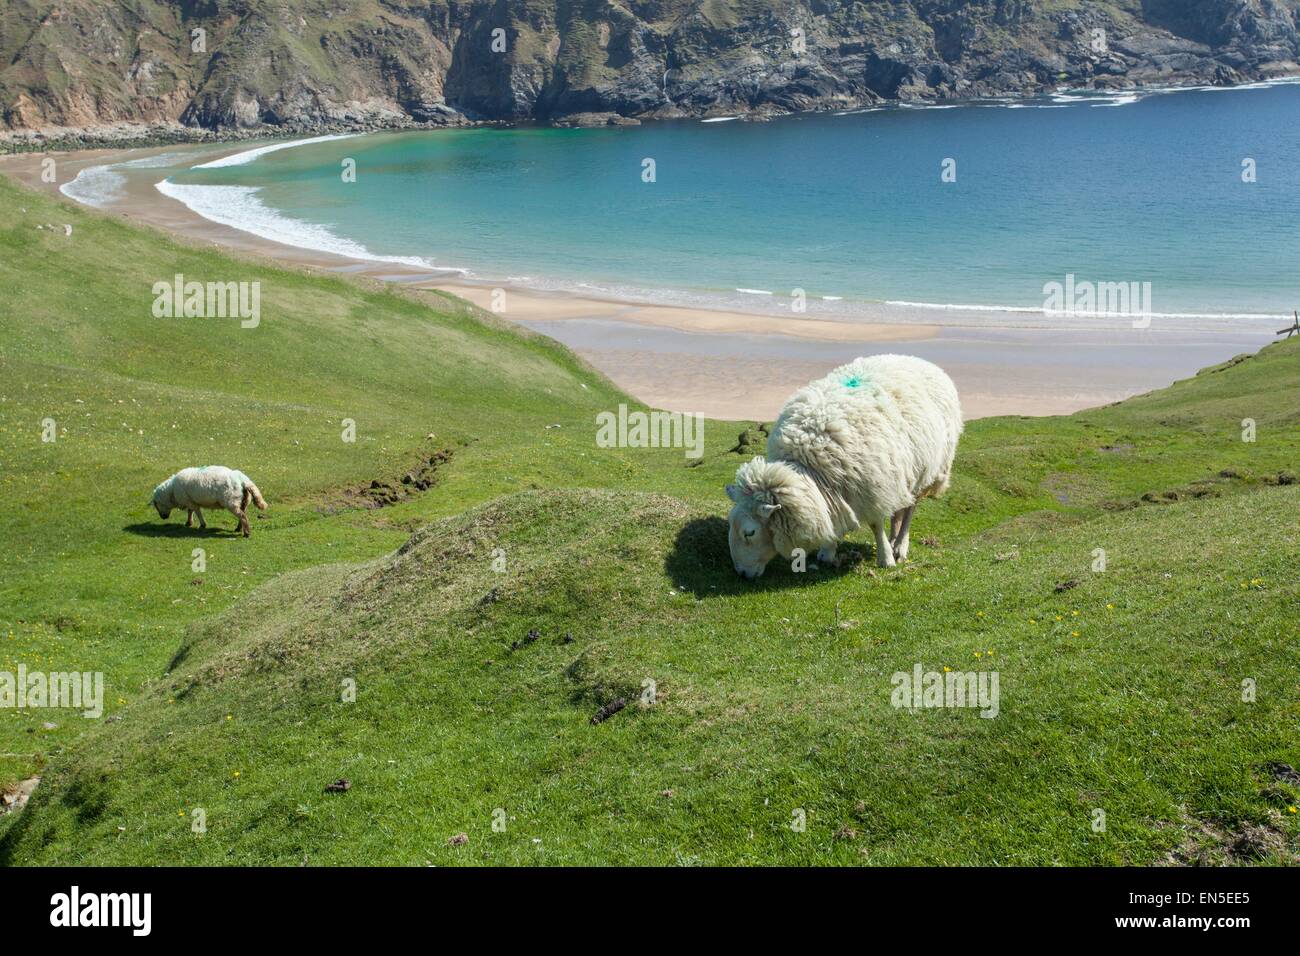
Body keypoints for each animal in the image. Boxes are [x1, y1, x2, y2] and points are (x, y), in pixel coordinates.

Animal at [728, 353, 961, 574]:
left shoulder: (873, 485)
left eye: (749, 532)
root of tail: (921, 361)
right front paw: (827, 552)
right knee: (900, 507)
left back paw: (900, 546)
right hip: (904, 471)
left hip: (927, 469)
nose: (741, 573)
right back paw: (894, 538)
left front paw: (885, 558)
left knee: (910, 509)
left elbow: (876, 524)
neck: (810, 467)